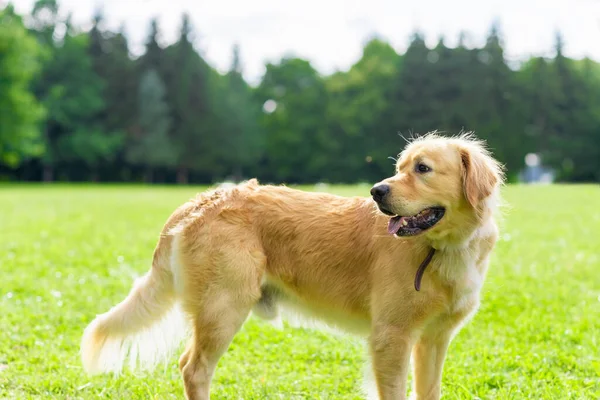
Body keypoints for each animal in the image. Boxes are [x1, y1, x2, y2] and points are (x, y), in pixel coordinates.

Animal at [78, 133, 502, 398]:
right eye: (401, 167)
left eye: (423, 169)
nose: (376, 191)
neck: (444, 248)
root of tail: (200, 200)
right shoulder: (391, 337)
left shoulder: (433, 340)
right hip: (224, 308)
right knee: (192, 368)